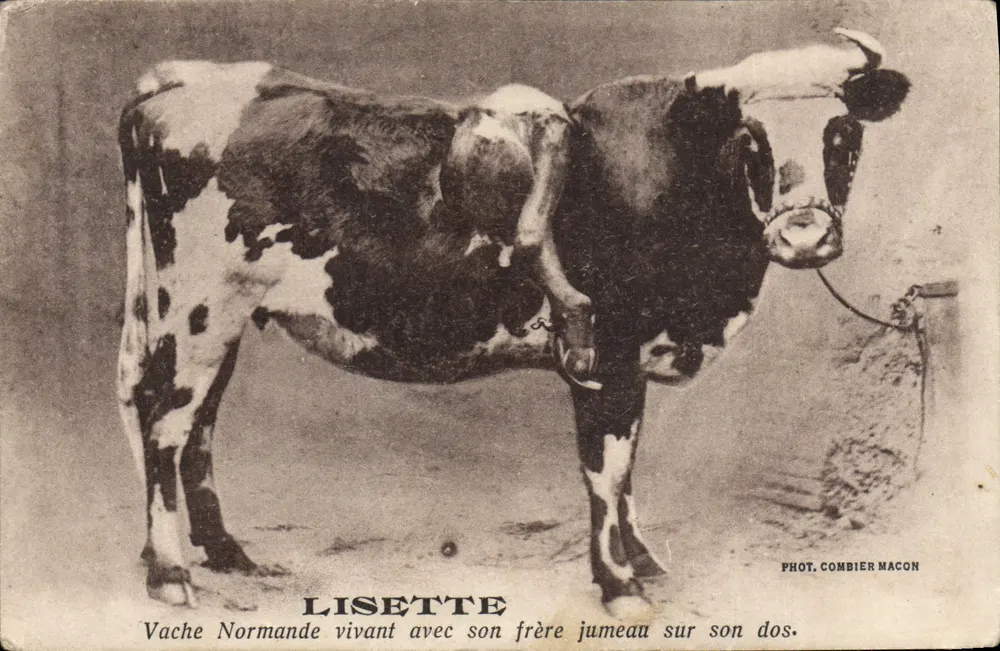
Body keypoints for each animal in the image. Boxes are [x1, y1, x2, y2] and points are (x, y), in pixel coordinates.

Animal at [116, 29, 908, 617]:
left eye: (843, 133)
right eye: (752, 141)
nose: (805, 235)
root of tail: (178, 82)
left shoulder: (633, 361)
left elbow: (629, 467)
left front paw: (644, 561)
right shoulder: (604, 356)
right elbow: (605, 469)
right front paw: (619, 583)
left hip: (218, 319)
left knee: (199, 425)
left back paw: (227, 555)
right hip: (197, 308)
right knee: (163, 420)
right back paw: (171, 574)